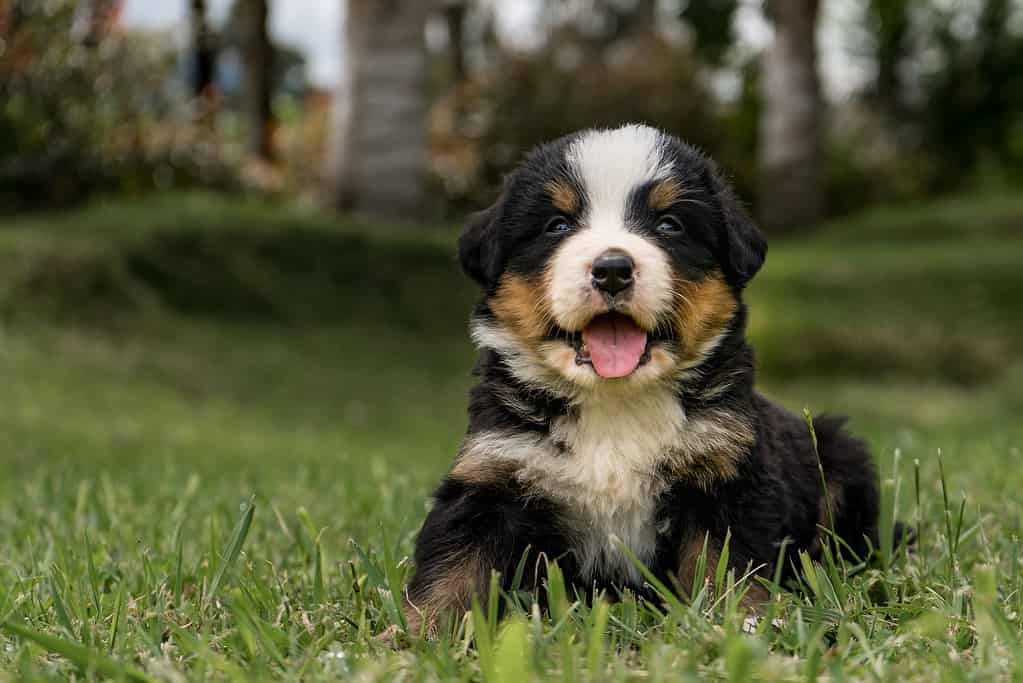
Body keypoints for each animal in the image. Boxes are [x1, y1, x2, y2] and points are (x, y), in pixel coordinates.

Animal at [403, 122, 883, 633]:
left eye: (669, 224)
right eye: (557, 225)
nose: (612, 269)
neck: (615, 403)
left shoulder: (727, 473)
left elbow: (725, 567)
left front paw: (738, 625)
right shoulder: (495, 472)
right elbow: (456, 566)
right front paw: (420, 634)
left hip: (839, 459)